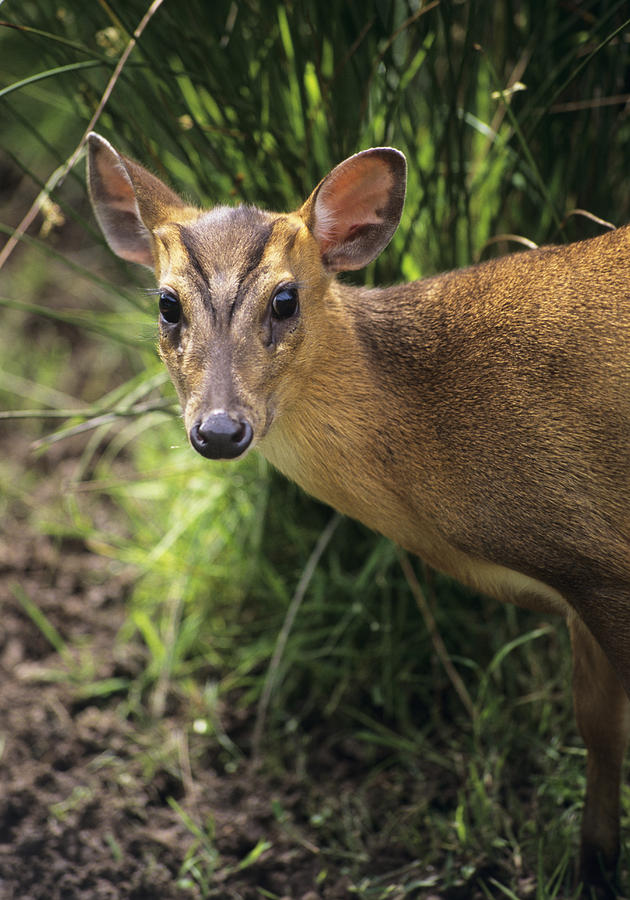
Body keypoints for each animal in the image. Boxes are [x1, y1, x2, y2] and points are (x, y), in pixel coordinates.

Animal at [86, 134, 628, 900]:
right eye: (167, 305)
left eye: (285, 299)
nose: (219, 429)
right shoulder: (586, 581)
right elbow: (599, 728)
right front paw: (595, 869)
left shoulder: (600, 562)